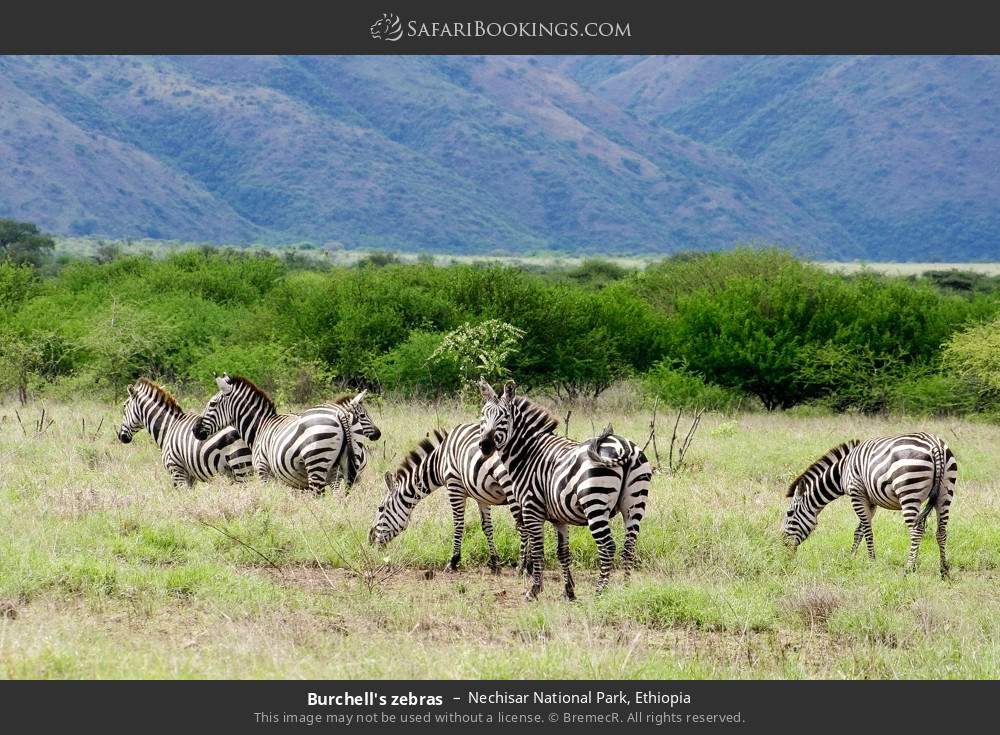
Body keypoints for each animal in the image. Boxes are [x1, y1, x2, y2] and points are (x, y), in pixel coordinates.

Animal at [118, 378, 253, 487]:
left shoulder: (176, 471)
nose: (120, 436)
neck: (168, 428)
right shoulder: (190, 476)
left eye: (124, 407)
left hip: (241, 466)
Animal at [192, 373, 364, 495]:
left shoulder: (262, 469)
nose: (194, 430)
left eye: (212, 404)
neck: (260, 426)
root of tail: (339, 414)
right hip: (341, 466)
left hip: (317, 461)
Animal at [368, 424, 528, 574]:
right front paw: (495, 562)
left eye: (380, 508)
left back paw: (523, 566)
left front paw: (453, 561)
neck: (439, 460)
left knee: (523, 525)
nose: (370, 541)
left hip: (511, 486)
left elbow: (458, 524)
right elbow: (487, 527)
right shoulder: (481, 494)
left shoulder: (454, 485)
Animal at [476, 378, 652, 600]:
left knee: (607, 546)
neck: (528, 454)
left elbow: (538, 550)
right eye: (483, 415)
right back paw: (626, 589)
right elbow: (563, 552)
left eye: (504, 417)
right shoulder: (559, 517)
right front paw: (569, 591)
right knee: (629, 546)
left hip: (594, 503)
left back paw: (600, 592)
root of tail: (625, 447)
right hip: (635, 504)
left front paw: (534, 590)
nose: (485, 446)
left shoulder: (532, 509)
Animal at [783, 432, 957, 578]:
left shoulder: (857, 494)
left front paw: (871, 561)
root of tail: (935, 445)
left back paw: (909, 568)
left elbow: (867, 530)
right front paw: (851, 557)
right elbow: (859, 531)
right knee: (942, 532)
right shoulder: (870, 501)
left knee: (916, 530)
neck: (842, 471)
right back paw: (944, 570)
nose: (784, 547)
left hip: (909, 491)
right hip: (945, 493)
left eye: (789, 513)